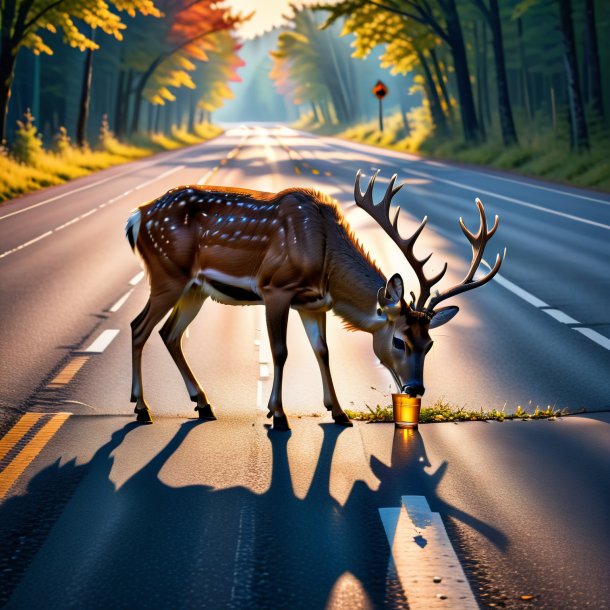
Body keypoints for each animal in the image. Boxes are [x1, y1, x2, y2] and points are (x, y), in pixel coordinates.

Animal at [126, 169, 502, 430]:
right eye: (399, 340)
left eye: (430, 344)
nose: (416, 388)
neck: (324, 262)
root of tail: (136, 217)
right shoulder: (275, 288)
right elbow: (280, 351)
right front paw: (277, 415)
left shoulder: (314, 303)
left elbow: (322, 351)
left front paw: (339, 413)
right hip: (167, 274)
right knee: (138, 326)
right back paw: (142, 408)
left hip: (195, 289)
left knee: (169, 333)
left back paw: (203, 404)